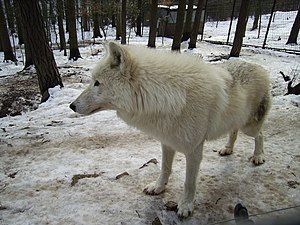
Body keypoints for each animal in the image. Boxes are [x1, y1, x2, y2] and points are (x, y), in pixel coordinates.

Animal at [70, 41, 272, 216]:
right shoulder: (166, 142)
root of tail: (259, 67)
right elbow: (165, 168)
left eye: (97, 82)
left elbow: (189, 183)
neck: (165, 95)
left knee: (260, 134)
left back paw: (258, 156)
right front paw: (158, 188)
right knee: (234, 131)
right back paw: (228, 149)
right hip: (237, 122)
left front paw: (185, 206)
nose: (71, 106)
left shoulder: (194, 150)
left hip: (249, 127)